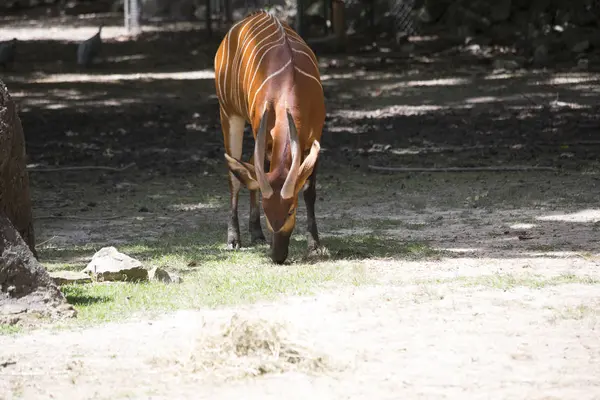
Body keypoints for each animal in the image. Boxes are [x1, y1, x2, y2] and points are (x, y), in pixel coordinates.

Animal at [216, 10, 326, 262]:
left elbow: (310, 191)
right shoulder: (261, 130)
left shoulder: (316, 138)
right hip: (229, 113)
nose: (277, 255)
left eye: (291, 210)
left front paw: (314, 245)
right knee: (234, 174)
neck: (290, 85)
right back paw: (234, 238)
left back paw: (255, 233)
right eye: (267, 211)